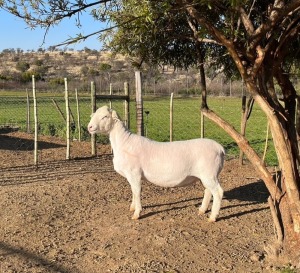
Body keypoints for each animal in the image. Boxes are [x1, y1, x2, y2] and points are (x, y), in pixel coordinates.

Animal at [88, 105, 225, 220]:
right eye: (93, 115)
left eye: (105, 116)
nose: (89, 127)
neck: (124, 142)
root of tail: (220, 148)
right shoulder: (131, 176)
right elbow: (133, 192)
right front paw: (132, 207)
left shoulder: (134, 174)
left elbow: (137, 192)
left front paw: (136, 214)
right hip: (205, 176)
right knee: (208, 191)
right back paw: (202, 210)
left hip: (209, 174)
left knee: (218, 192)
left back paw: (213, 217)